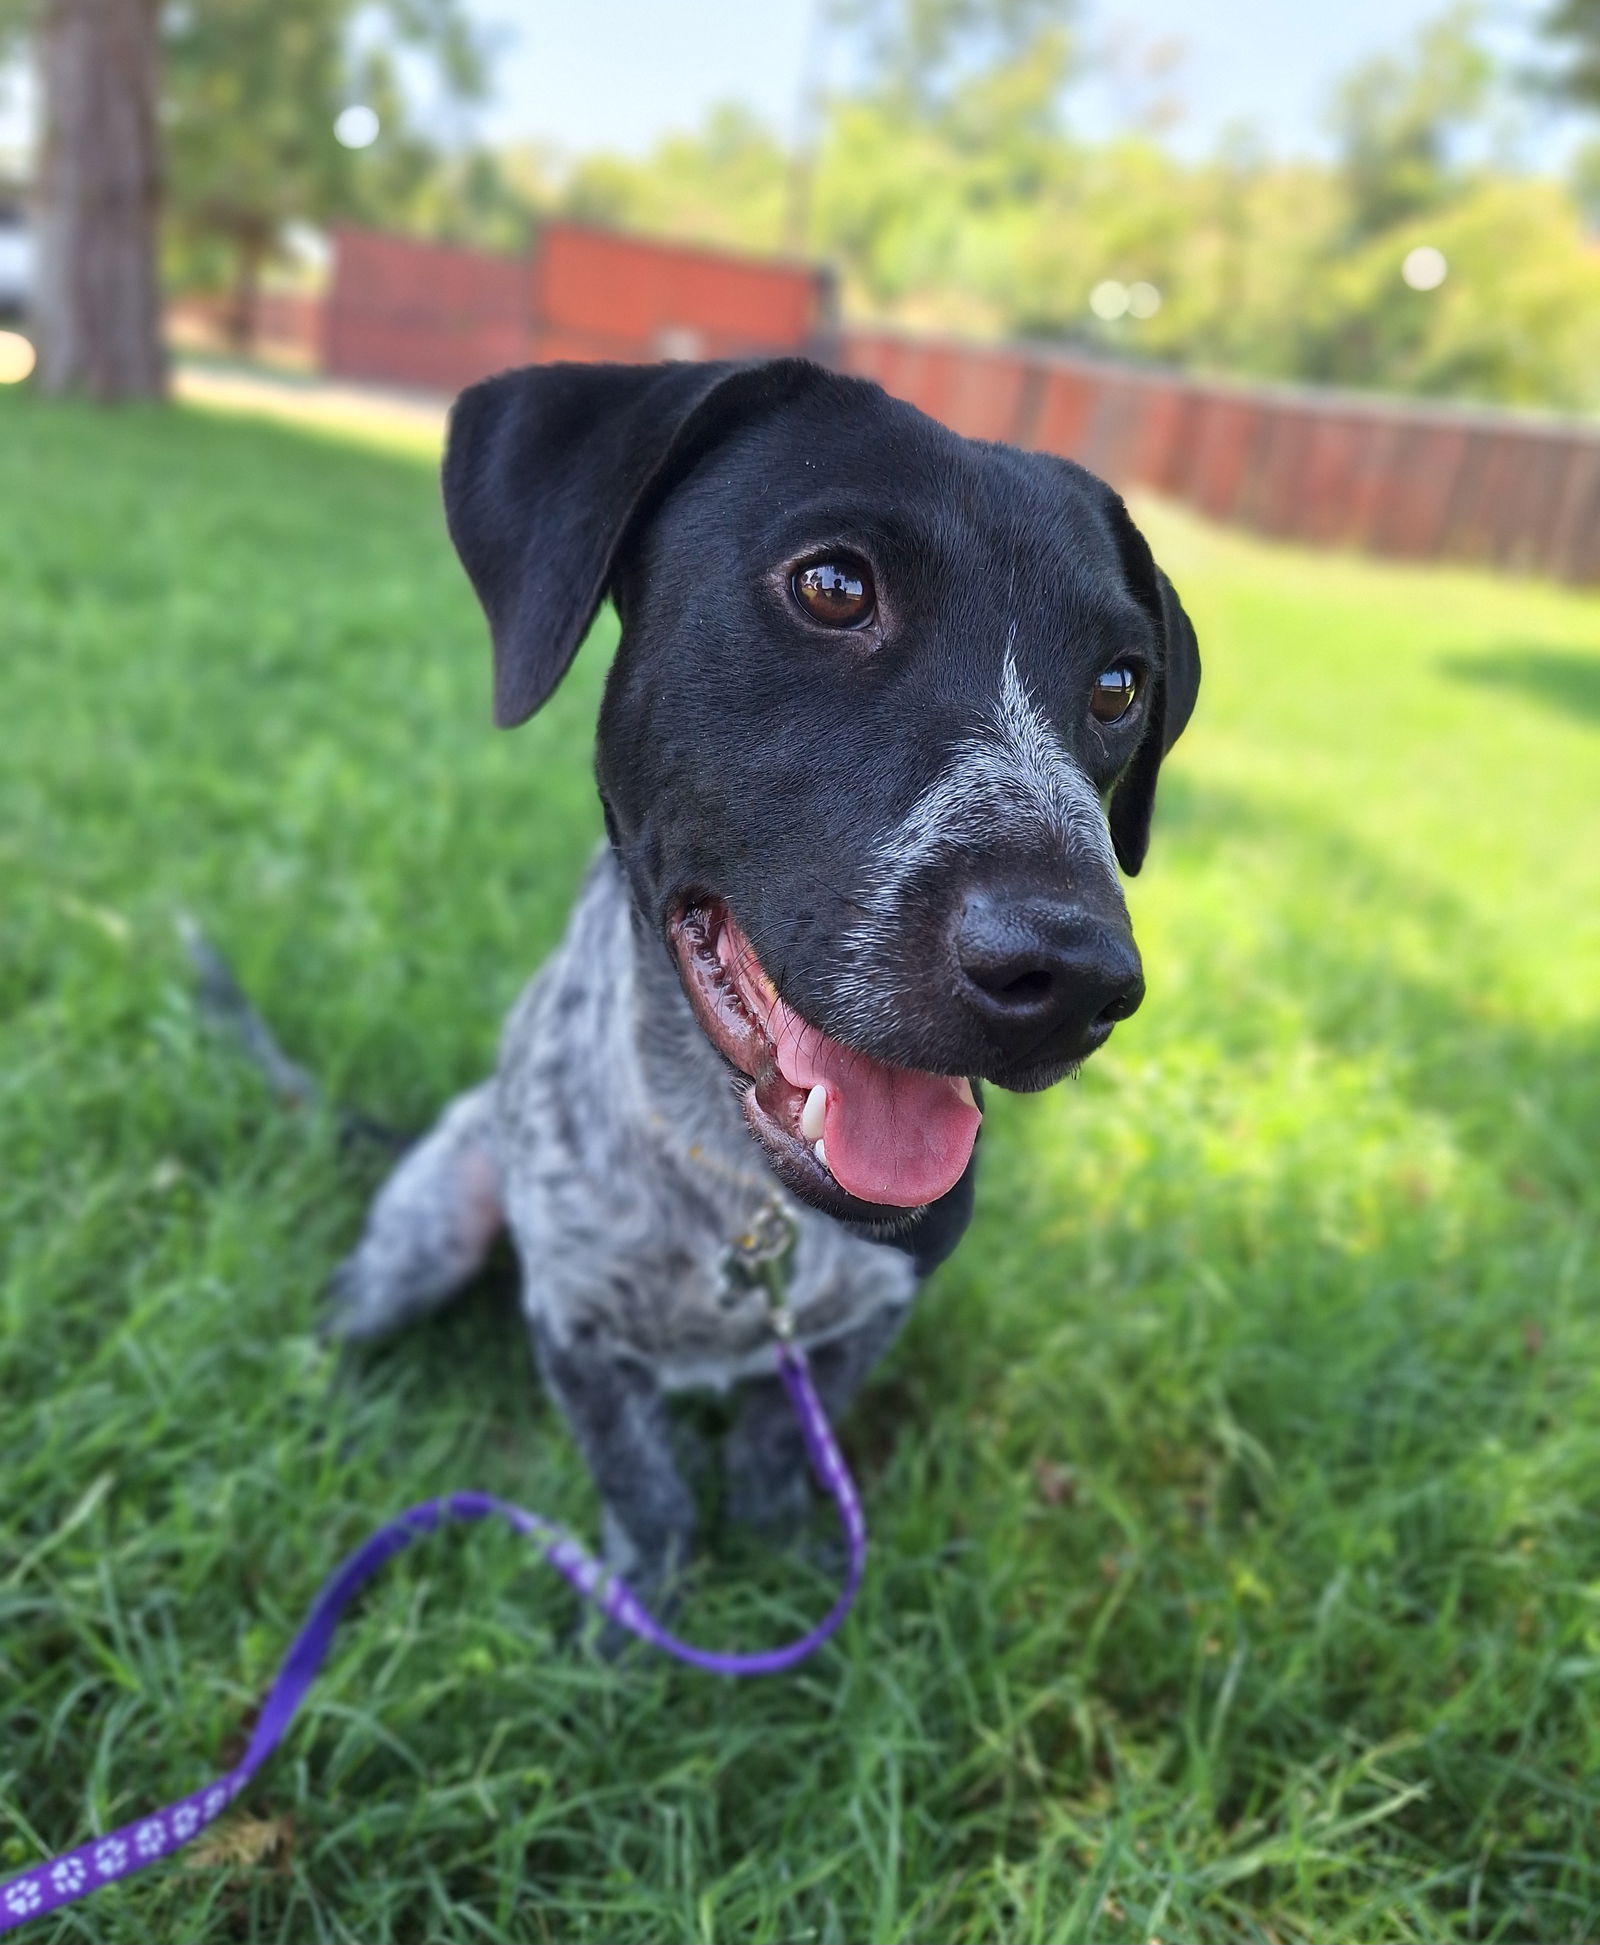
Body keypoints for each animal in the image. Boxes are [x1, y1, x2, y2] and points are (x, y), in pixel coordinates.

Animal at [328, 361, 1197, 1610]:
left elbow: (777, 1445)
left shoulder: (867, 1315)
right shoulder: (575, 1327)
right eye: (833, 587)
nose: (1076, 976)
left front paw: (785, 1555)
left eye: (1121, 683)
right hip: (431, 1231)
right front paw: (635, 1615)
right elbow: (645, 1486)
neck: (742, 1202)